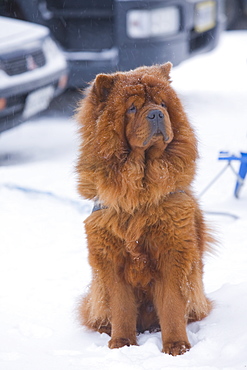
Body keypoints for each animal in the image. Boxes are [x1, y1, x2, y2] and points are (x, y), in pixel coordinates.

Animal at [76, 63, 212, 356]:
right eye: (132, 108)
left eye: (162, 104)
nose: (156, 113)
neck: (138, 194)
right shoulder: (111, 259)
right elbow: (121, 307)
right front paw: (121, 343)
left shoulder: (173, 252)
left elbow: (172, 304)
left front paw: (176, 346)